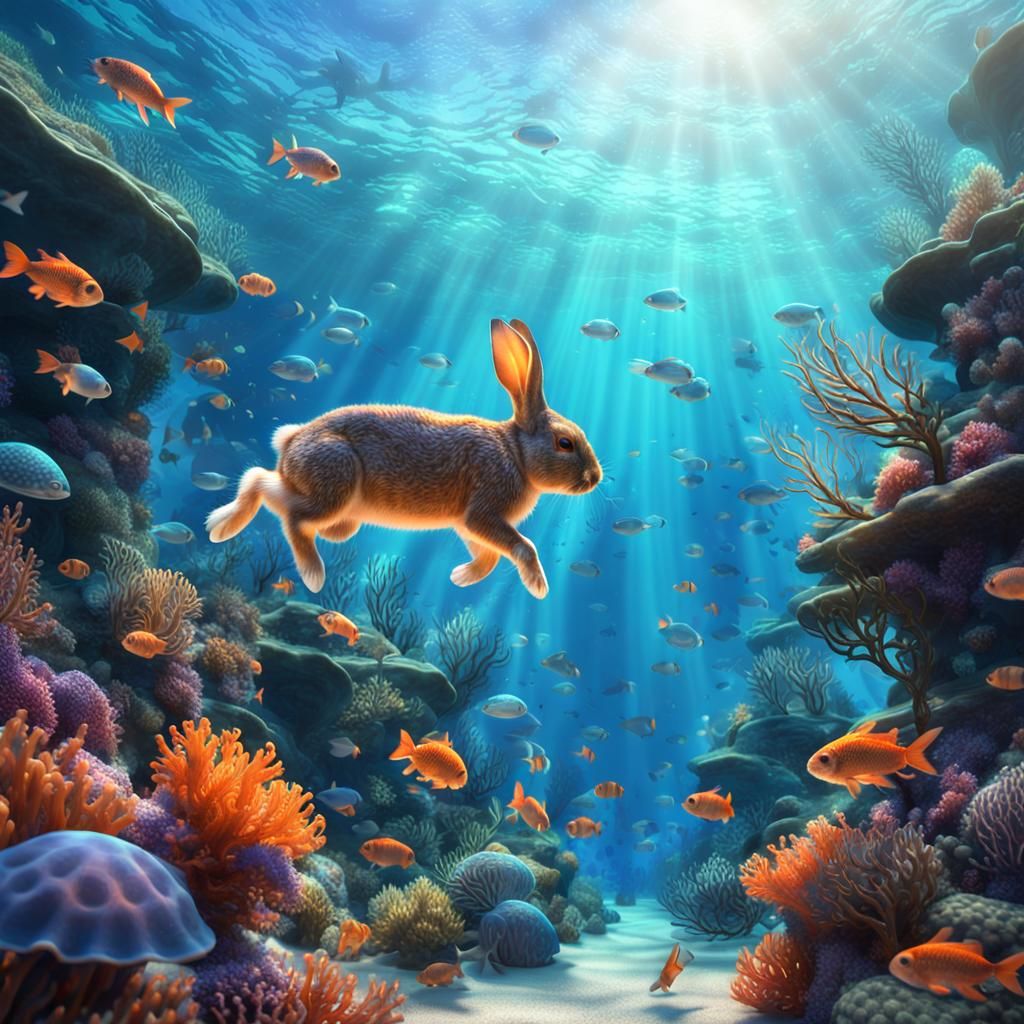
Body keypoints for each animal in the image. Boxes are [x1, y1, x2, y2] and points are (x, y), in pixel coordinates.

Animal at [206, 318, 602, 599]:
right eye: (565, 443)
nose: (595, 478)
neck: (517, 453)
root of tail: (291, 442)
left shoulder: (468, 525)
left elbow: (488, 557)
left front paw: (460, 577)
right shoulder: (483, 512)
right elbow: (523, 546)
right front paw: (538, 586)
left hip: (329, 502)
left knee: (260, 481)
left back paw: (219, 527)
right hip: (336, 481)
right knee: (295, 518)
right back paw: (313, 574)